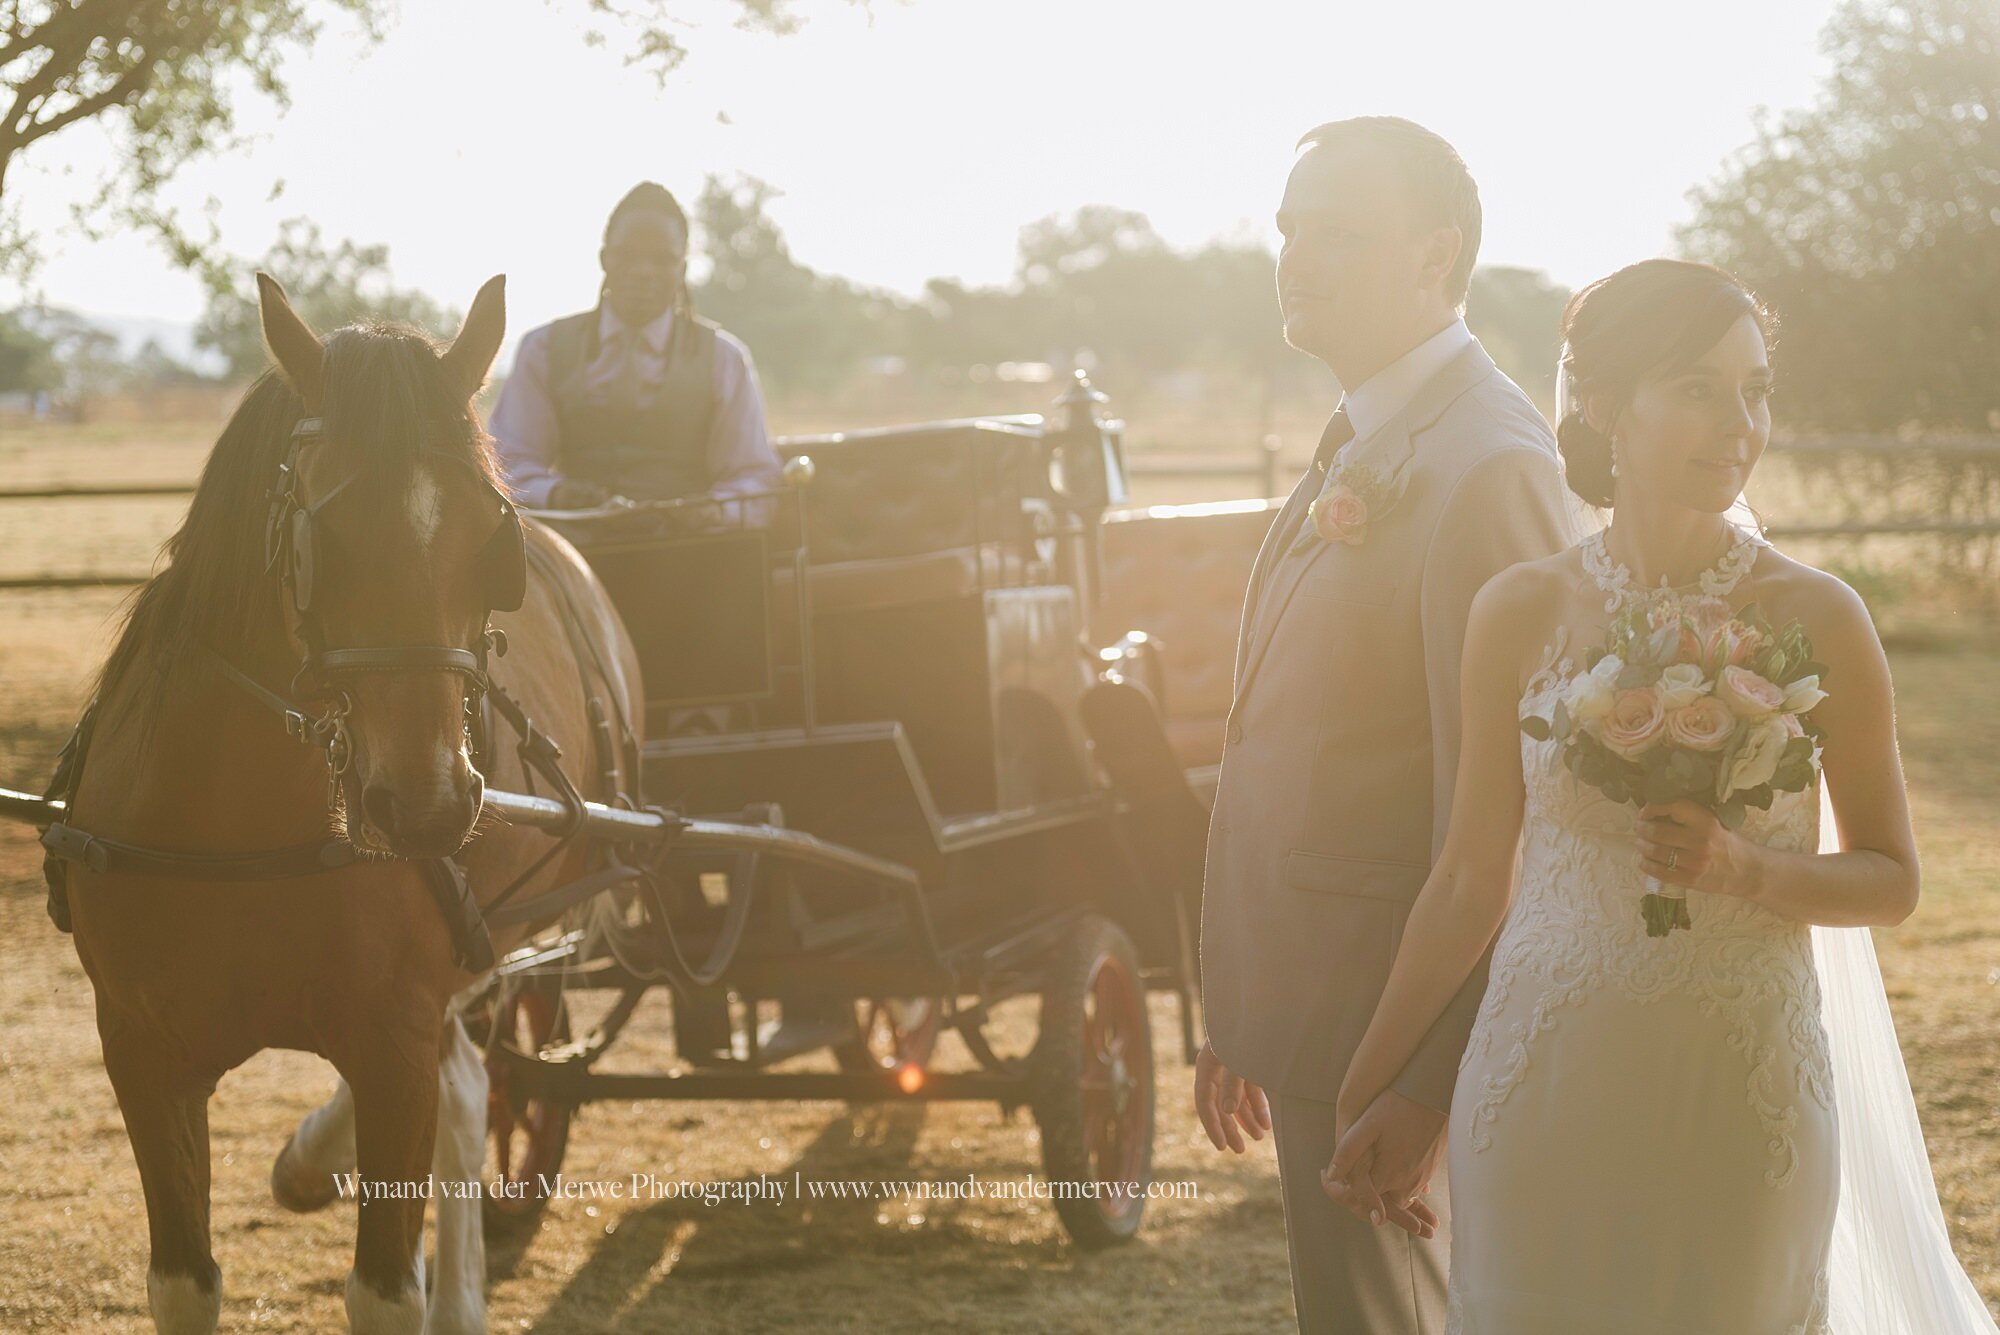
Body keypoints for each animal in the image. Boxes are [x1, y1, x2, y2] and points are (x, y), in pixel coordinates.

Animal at [60, 273, 640, 1335]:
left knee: (469, 1097)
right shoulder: (141, 1050)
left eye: (491, 539)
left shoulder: (393, 1041)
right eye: (322, 538)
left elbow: (384, 1281)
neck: (234, 830)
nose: (425, 807)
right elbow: (183, 1281)